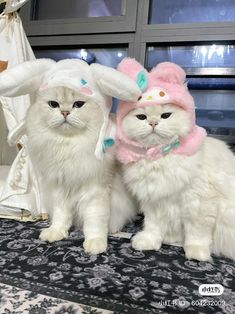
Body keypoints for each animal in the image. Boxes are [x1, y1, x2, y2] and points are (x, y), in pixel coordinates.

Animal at [115, 57, 235, 262]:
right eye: (141, 117)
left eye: (165, 115)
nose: (153, 122)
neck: (158, 157)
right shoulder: (154, 201)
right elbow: (153, 227)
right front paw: (148, 242)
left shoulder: (199, 204)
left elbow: (197, 233)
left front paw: (197, 253)